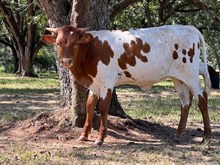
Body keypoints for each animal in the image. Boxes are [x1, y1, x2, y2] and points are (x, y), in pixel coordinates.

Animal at [41, 24, 211, 146]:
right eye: (58, 43)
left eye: (76, 43)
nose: (66, 61)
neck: (91, 50)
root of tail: (189, 27)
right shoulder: (95, 84)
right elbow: (89, 106)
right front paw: (84, 135)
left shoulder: (107, 82)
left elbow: (103, 108)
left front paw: (100, 139)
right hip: (178, 78)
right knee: (185, 102)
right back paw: (177, 135)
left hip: (191, 75)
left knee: (202, 98)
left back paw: (207, 137)